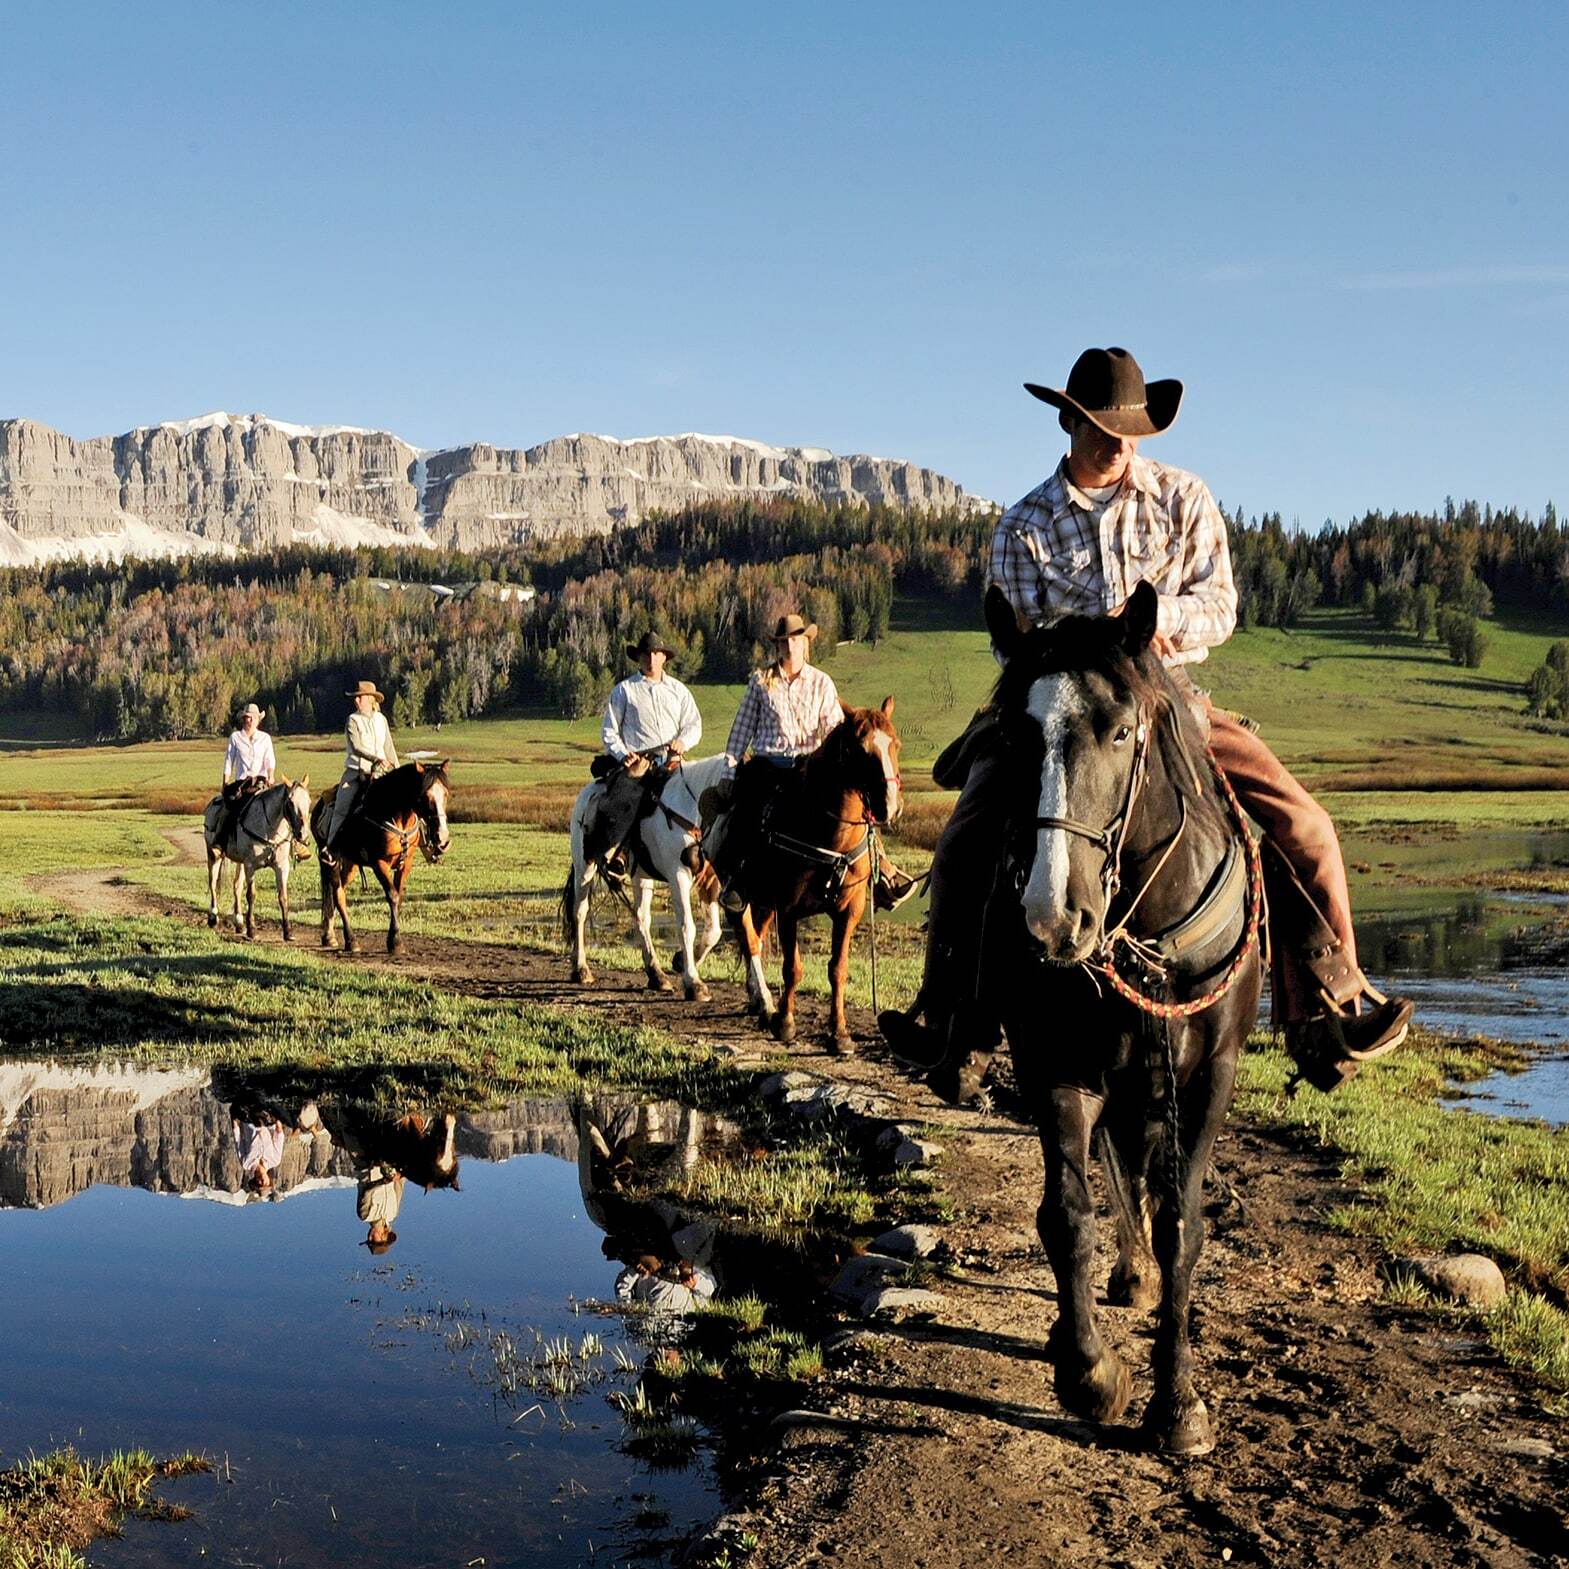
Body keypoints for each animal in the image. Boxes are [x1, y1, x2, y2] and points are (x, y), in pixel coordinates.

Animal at [309, 759, 451, 953]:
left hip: (350, 864)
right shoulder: (379, 862)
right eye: (425, 796)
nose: (442, 838)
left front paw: (394, 938)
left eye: (446, 794)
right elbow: (392, 895)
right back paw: (350, 940)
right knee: (337, 894)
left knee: (338, 892)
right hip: (331, 861)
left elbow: (398, 896)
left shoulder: (406, 862)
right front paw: (395, 942)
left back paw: (331, 936)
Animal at [731, 702, 903, 1054]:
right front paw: (785, 1023)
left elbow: (838, 969)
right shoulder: (788, 908)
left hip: (764, 900)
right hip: (739, 893)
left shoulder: (849, 911)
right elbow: (792, 968)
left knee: (756, 936)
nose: (891, 807)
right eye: (859, 750)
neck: (830, 838)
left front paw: (839, 1033)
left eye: (896, 744)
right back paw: (764, 1004)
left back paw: (759, 1003)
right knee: (747, 937)